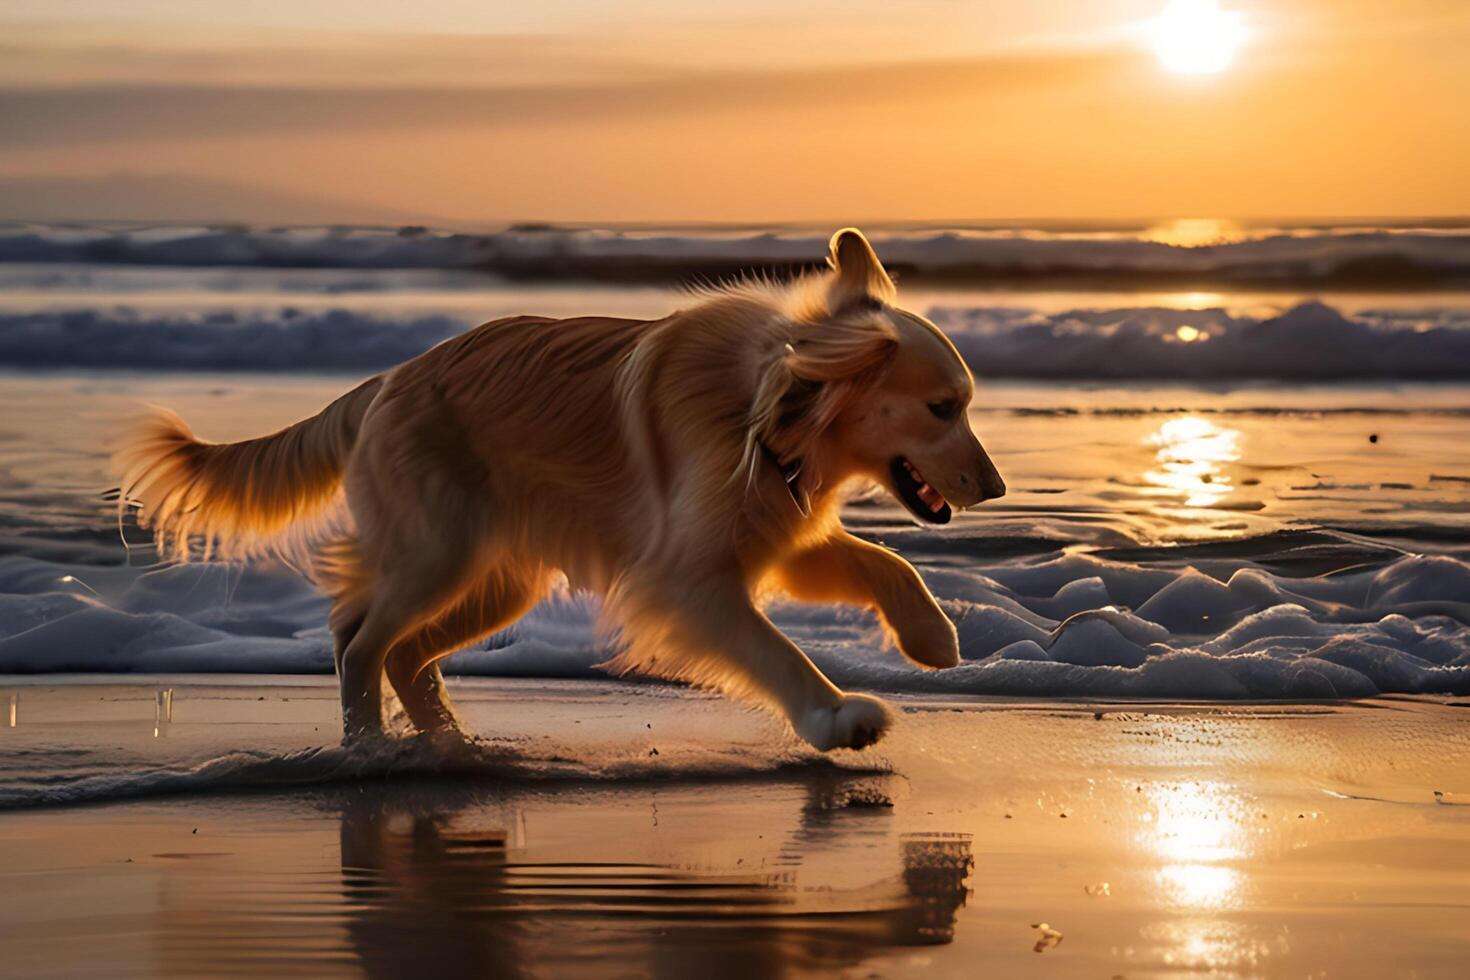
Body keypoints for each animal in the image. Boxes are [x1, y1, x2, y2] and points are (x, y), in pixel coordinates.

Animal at [120, 230, 1005, 752]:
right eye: (942, 407)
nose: (996, 488)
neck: (766, 408)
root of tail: (385, 382)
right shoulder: (686, 576)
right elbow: (773, 649)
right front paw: (834, 715)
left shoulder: (774, 536)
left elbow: (886, 563)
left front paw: (932, 638)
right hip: (440, 554)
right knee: (362, 642)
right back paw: (372, 752)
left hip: (498, 578)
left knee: (391, 647)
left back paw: (446, 746)